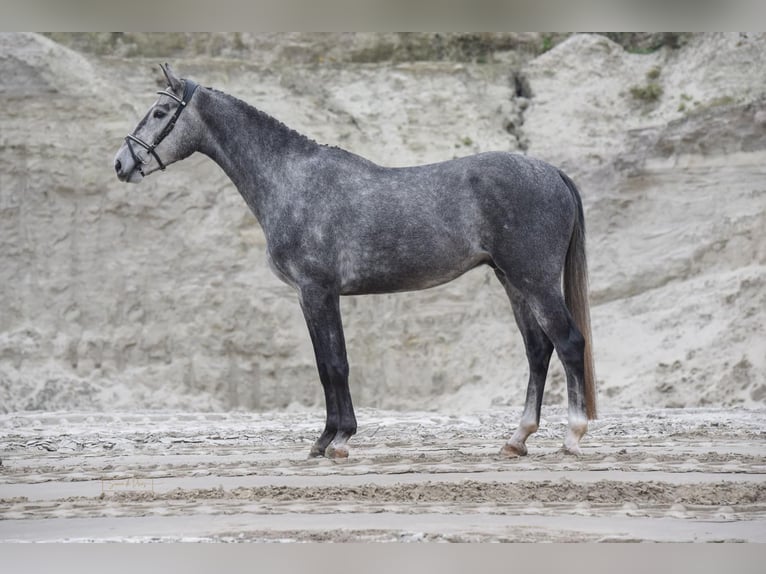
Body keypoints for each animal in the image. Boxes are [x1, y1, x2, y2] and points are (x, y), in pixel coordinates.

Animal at [114, 64, 596, 460]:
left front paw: (340, 439)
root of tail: (552, 172)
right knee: (538, 349)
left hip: (534, 280)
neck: (291, 179)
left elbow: (335, 364)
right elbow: (327, 365)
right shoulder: (312, 297)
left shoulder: (318, 291)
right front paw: (325, 440)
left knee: (569, 342)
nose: (121, 164)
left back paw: (572, 436)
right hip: (511, 280)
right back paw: (517, 439)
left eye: (160, 111)